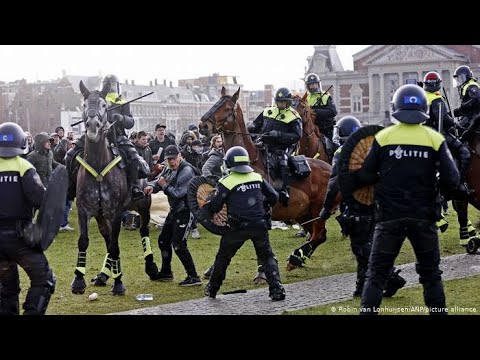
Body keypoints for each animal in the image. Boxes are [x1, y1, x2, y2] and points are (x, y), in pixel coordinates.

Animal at [199, 86, 338, 268]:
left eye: (227, 108)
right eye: (215, 103)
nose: (203, 125)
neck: (245, 162)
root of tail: (331, 169)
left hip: (317, 211)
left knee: (319, 235)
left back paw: (295, 258)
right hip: (303, 214)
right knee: (316, 235)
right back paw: (298, 258)